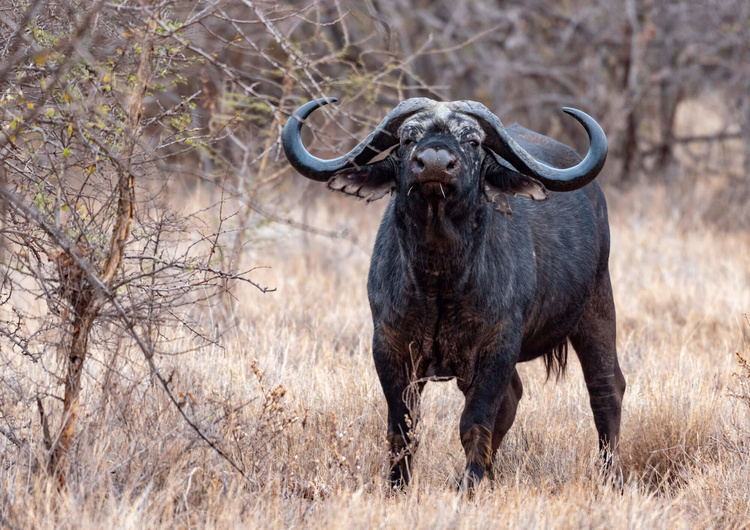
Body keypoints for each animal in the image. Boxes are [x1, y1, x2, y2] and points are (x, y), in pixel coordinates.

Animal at [284, 97, 624, 488]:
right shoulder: (389, 346)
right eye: (407, 138)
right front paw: (398, 485)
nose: (434, 163)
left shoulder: (498, 347)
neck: (440, 279)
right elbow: (403, 427)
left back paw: (610, 476)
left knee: (606, 388)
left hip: (597, 304)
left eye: (472, 141)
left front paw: (469, 486)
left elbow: (474, 424)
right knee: (514, 397)